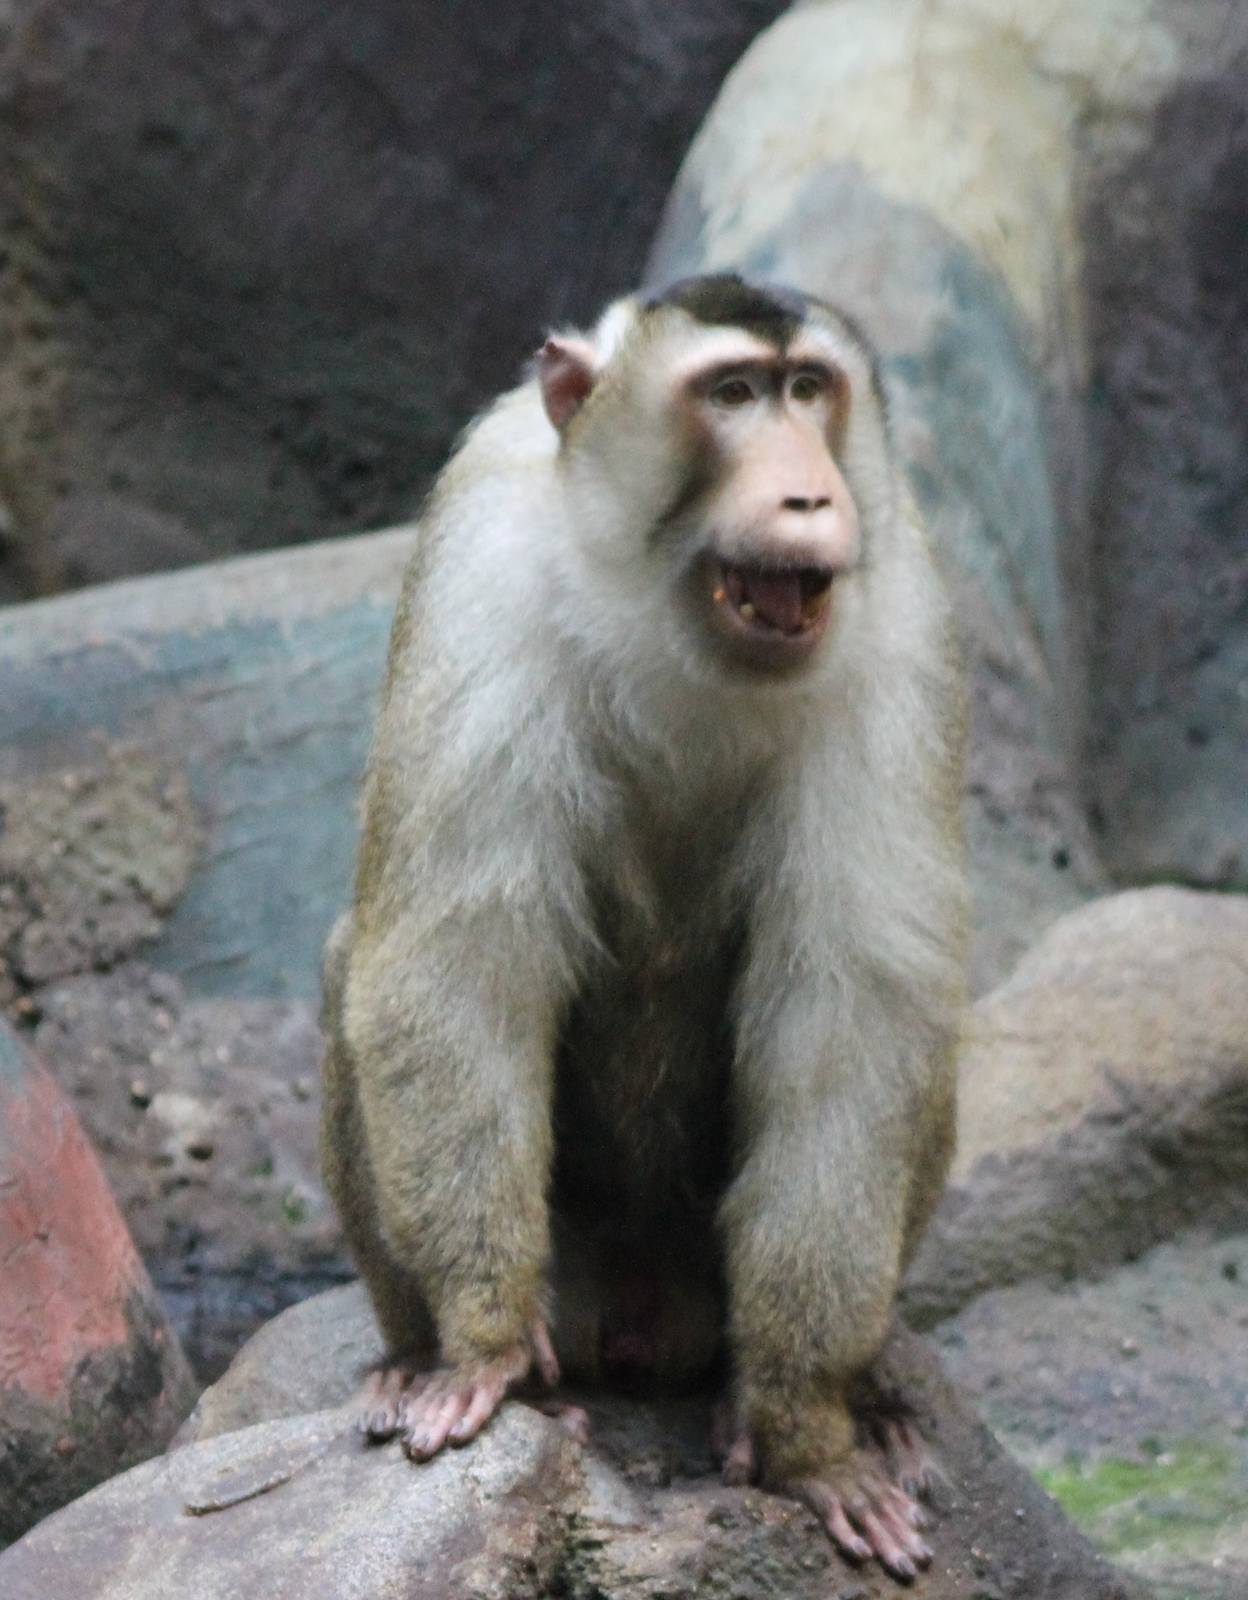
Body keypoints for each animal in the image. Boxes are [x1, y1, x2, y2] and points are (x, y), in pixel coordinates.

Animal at [321, 272, 967, 1581]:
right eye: (731, 394)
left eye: (807, 389)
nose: (809, 491)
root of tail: (638, 1312)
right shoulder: (482, 553)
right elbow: (457, 969)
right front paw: (478, 1339)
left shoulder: (902, 610)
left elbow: (854, 1026)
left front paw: (805, 1425)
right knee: (354, 961)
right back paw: (415, 1356)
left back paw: (843, 1393)